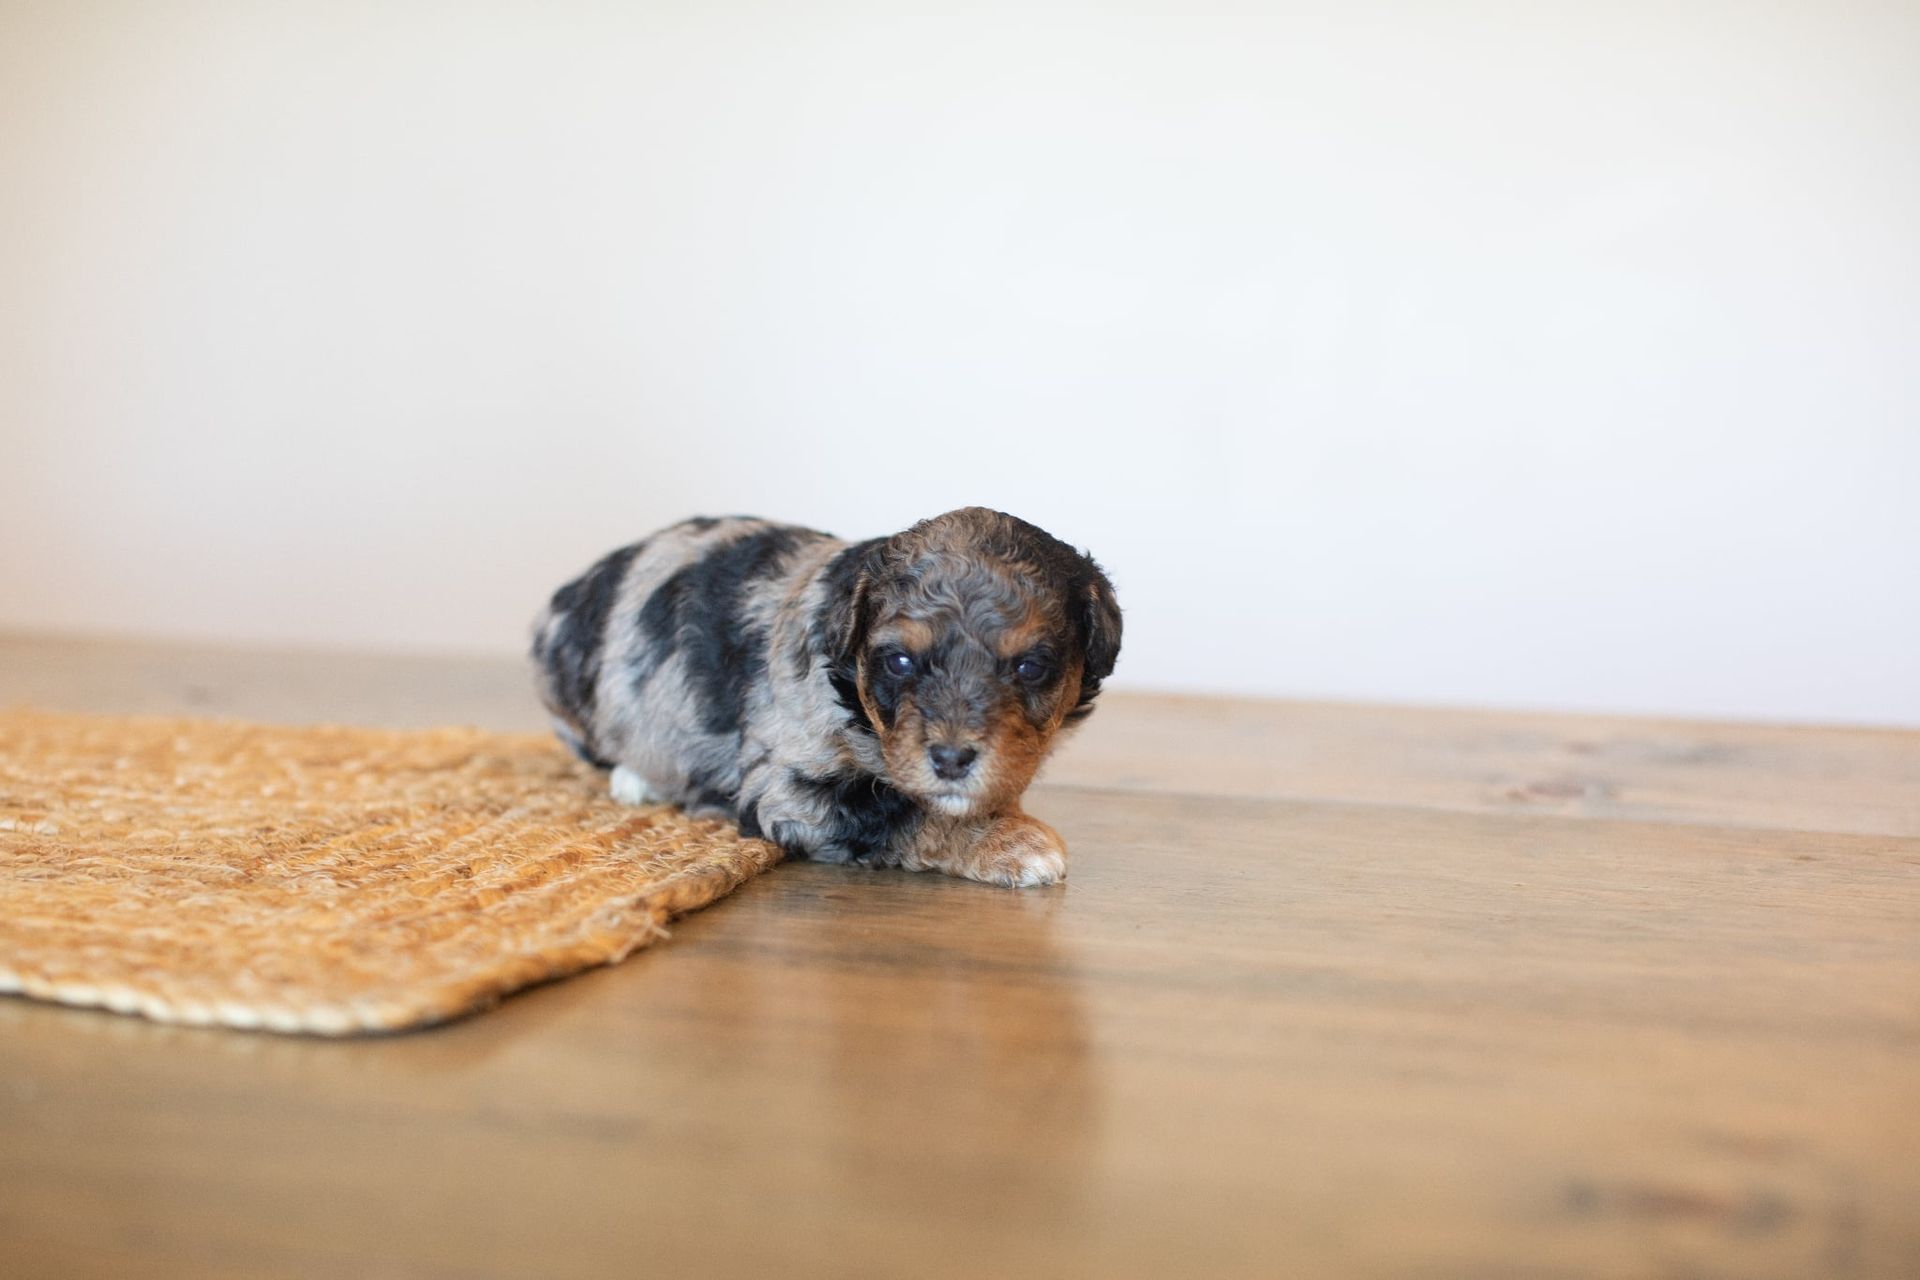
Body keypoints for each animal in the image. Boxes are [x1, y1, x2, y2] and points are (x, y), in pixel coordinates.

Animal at [530, 507, 1120, 887]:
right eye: (900, 661)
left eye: (1030, 667)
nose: (951, 759)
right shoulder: (789, 787)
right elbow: (901, 815)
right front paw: (1014, 843)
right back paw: (636, 780)